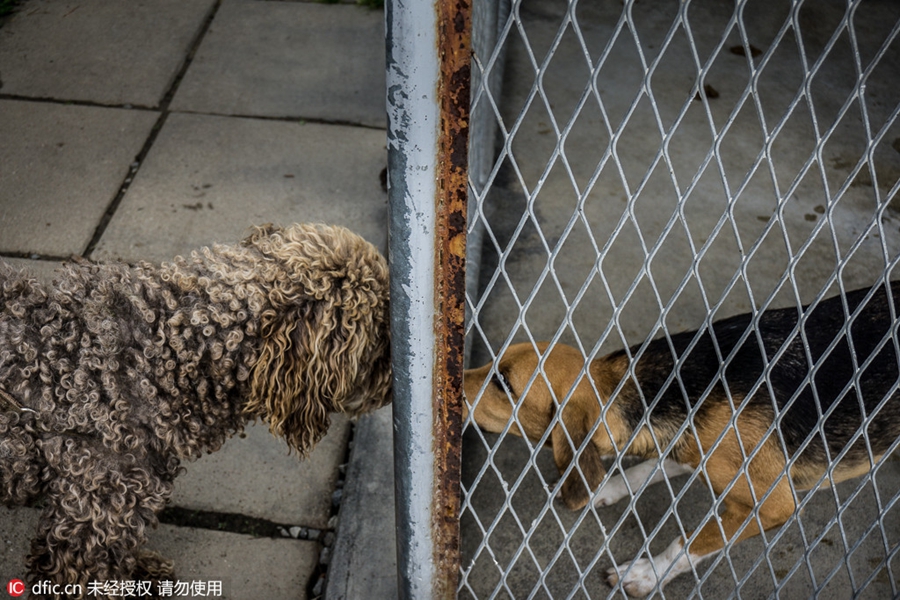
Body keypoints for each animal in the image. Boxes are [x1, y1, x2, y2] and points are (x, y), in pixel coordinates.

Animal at [464, 282, 900, 600]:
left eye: (503, 382)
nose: (454, 378)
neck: (650, 390)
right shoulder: (685, 443)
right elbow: (641, 470)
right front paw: (601, 487)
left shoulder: (772, 504)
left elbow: (689, 542)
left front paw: (647, 573)